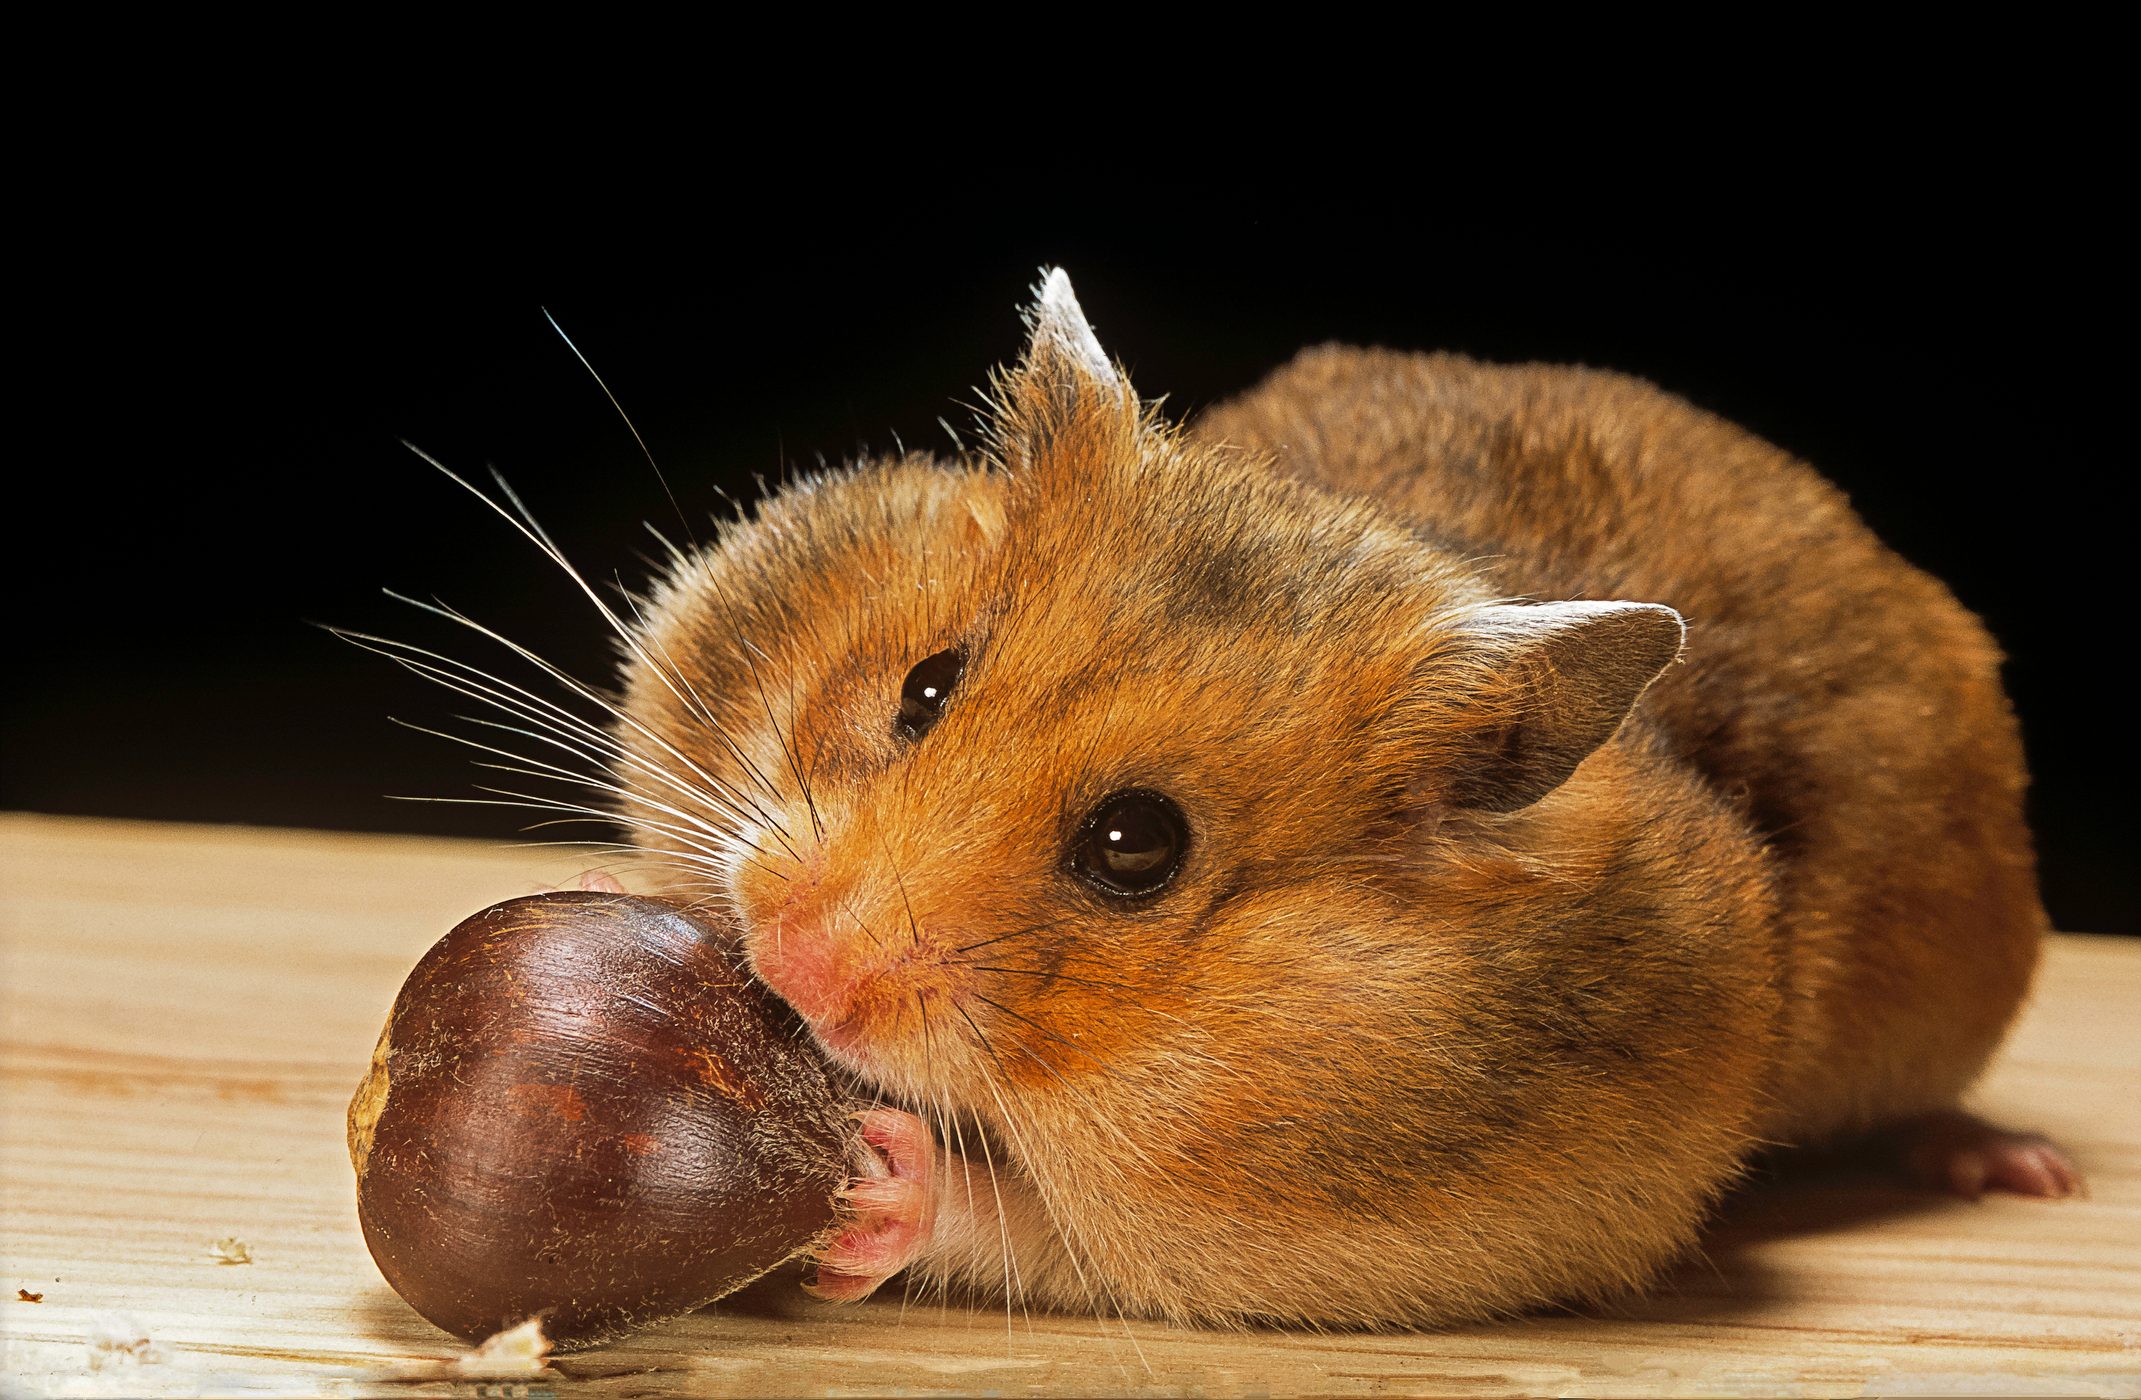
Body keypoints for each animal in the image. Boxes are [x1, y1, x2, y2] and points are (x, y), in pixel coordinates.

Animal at [598, 270, 2074, 1328]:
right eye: (923, 686)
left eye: (1136, 847)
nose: (791, 962)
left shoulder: (1373, 1231)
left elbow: (1064, 1233)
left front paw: (871, 1188)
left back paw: (2018, 1167)